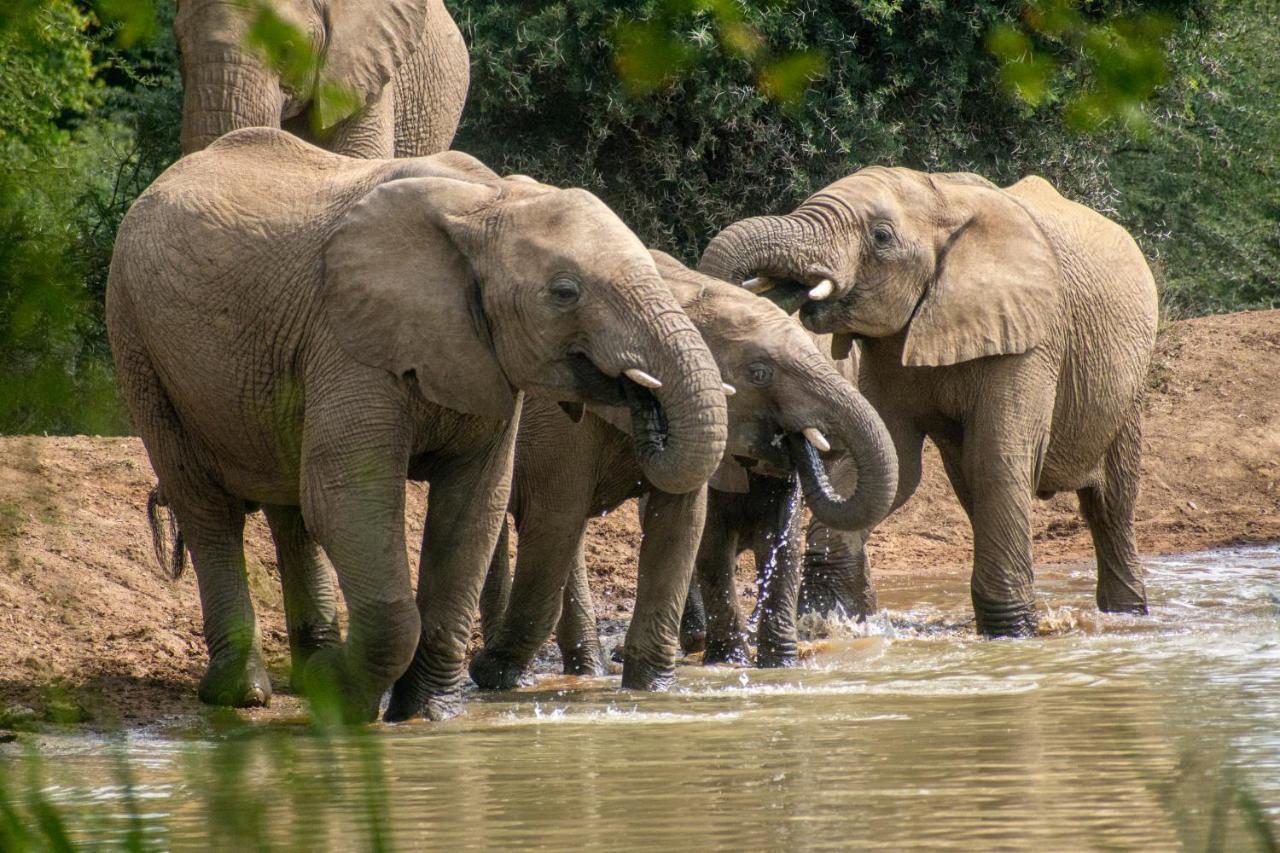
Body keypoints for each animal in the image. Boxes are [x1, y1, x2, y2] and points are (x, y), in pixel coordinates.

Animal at [107, 129, 732, 722]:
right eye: (564, 293)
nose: (641, 396)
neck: (490, 201)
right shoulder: (348, 338)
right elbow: (345, 496)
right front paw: (345, 698)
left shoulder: (479, 358)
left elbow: (472, 509)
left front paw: (424, 714)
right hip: (137, 338)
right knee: (206, 506)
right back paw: (243, 694)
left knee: (289, 508)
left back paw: (306, 676)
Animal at [473, 247, 901, 686]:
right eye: (759, 373)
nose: (800, 436)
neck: (684, 297)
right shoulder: (559, 427)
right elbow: (702, 539)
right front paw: (729, 660)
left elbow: (732, 534)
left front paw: (777, 667)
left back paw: (587, 670)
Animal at [701, 166, 1162, 635]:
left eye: (881, 237)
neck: (944, 196)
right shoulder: (888, 349)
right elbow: (892, 463)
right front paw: (827, 618)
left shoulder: (1031, 339)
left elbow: (998, 459)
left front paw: (1012, 632)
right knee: (975, 490)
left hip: (1128, 387)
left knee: (1110, 505)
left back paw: (1126, 614)